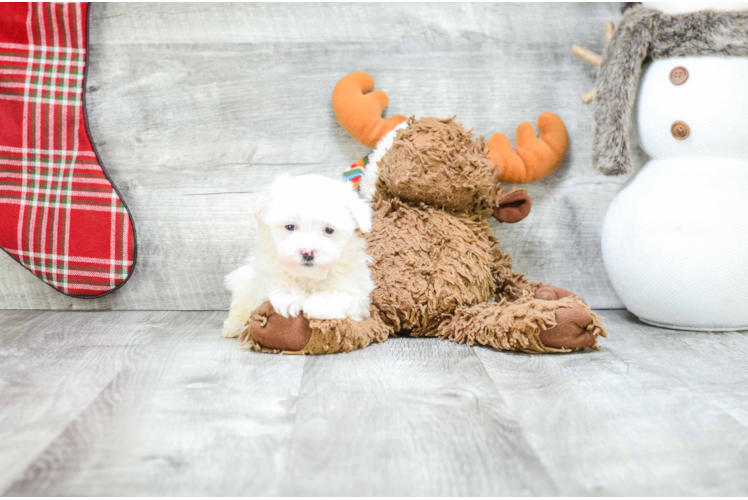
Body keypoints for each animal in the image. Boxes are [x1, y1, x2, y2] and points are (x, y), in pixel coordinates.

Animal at [221, 173, 374, 340]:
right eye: (290, 227)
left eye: (329, 230)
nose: (308, 252)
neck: (309, 276)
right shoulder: (265, 273)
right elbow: (277, 280)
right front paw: (289, 297)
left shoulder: (357, 292)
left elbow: (345, 297)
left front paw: (318, 303)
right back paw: (234, 326)